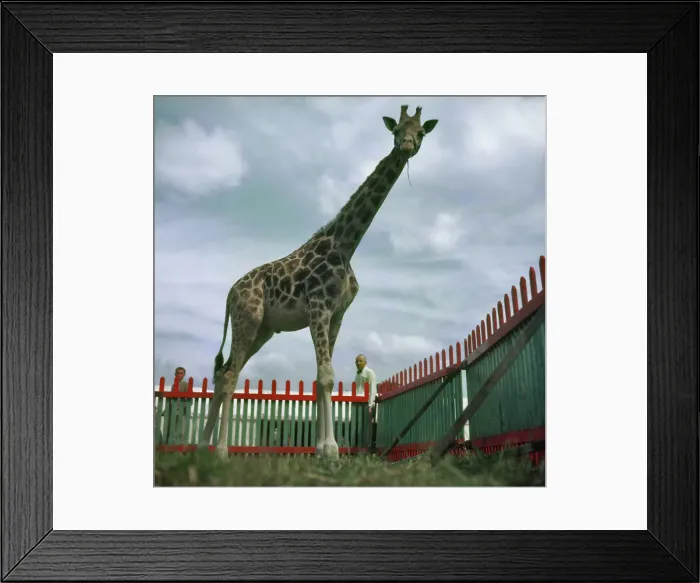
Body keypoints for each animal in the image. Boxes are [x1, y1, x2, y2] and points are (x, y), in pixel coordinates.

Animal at [198, 105, 438, 460]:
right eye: (396, 131)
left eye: (420, 132)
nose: (407, 145)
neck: (346, 244)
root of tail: (230, 293)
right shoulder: (318, 308)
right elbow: (326, 376)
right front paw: (331, 449)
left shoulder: (336, 315)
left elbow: (319, 378)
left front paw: (320, 448)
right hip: (247, 319)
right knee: (228, 376)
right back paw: (221, 451)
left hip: (262, 330)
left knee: (223, 372)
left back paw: (201, 446)